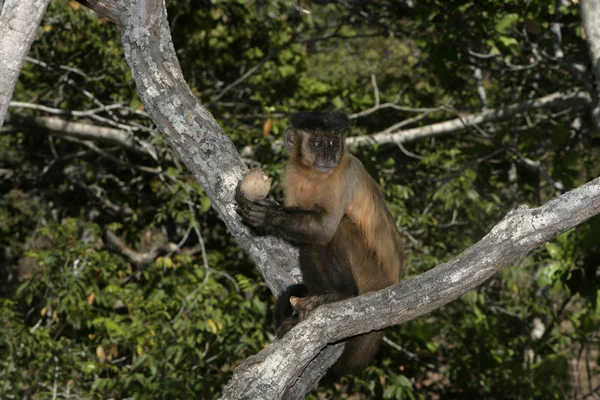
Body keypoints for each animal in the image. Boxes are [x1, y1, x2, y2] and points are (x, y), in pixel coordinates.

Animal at [234, 110, 404, 376]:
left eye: (332, 143)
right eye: (317, 144)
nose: (328, 156)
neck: (314, 174)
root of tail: (392, 282)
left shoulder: (345, 171)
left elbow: (324, 230)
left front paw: (269, 216)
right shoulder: (292, 175)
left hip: (372, 274)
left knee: (336, 230)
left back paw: (341, 294)